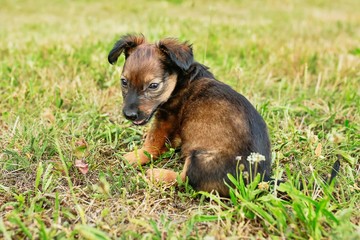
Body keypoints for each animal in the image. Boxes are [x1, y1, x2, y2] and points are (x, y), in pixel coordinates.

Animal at [108, 34, 272, 197]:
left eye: (153, 86)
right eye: (124, 82)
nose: (129, 115)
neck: (180, 80)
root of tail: (261, 179)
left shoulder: (166, 118)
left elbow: (152, 141)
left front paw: (136, 156)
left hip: (199, 159)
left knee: (184, 180)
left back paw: (157, 174)